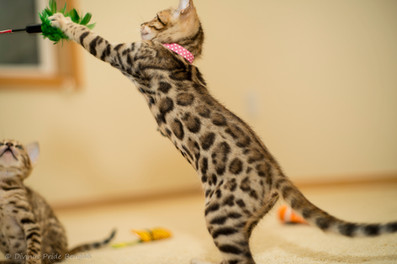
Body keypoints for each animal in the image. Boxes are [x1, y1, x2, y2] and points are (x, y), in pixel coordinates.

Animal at [49, 0, 396, 264]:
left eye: (157, 17)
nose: (142, 24)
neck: (180, 53)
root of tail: (276, 171)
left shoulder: (120, 53)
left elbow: (88, 35)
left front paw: (61, 20)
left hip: (219, 215)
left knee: (243, 261)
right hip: (243, 221)